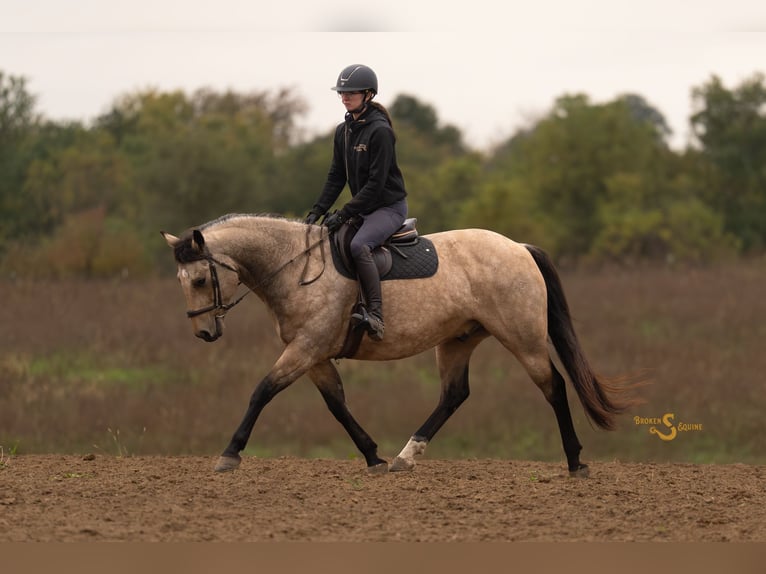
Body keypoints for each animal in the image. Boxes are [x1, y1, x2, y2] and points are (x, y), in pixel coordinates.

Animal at [162, 213, 638, 477]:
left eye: (200, 280)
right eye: (181, 281)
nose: (204, 333)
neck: (297, 268)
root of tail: (518, 247)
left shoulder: (305, 350)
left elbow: (262, 392)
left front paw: (230, 454)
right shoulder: (314, 356)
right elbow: (336, 404)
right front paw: (372, 456)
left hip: (523, 338)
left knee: (553, 386)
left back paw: (575, 462)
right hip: (457, 341)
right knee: (454, 395)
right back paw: (405, 457)